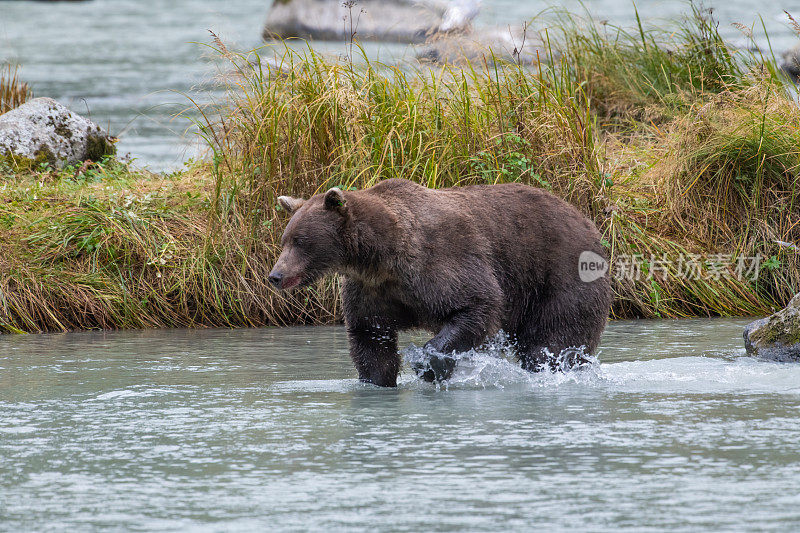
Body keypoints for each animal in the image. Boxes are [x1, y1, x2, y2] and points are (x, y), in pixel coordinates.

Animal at [268, 179, 612, 386]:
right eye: (284, 240)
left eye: (300, 241)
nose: (275, 275)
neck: (382, 257)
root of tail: (586, 219)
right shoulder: (371, 291)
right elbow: (370, 338)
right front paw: (377, 379)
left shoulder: (441, 262)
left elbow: (477, 304)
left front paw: (427, 364)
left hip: (559, 273)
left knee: (553, 340)